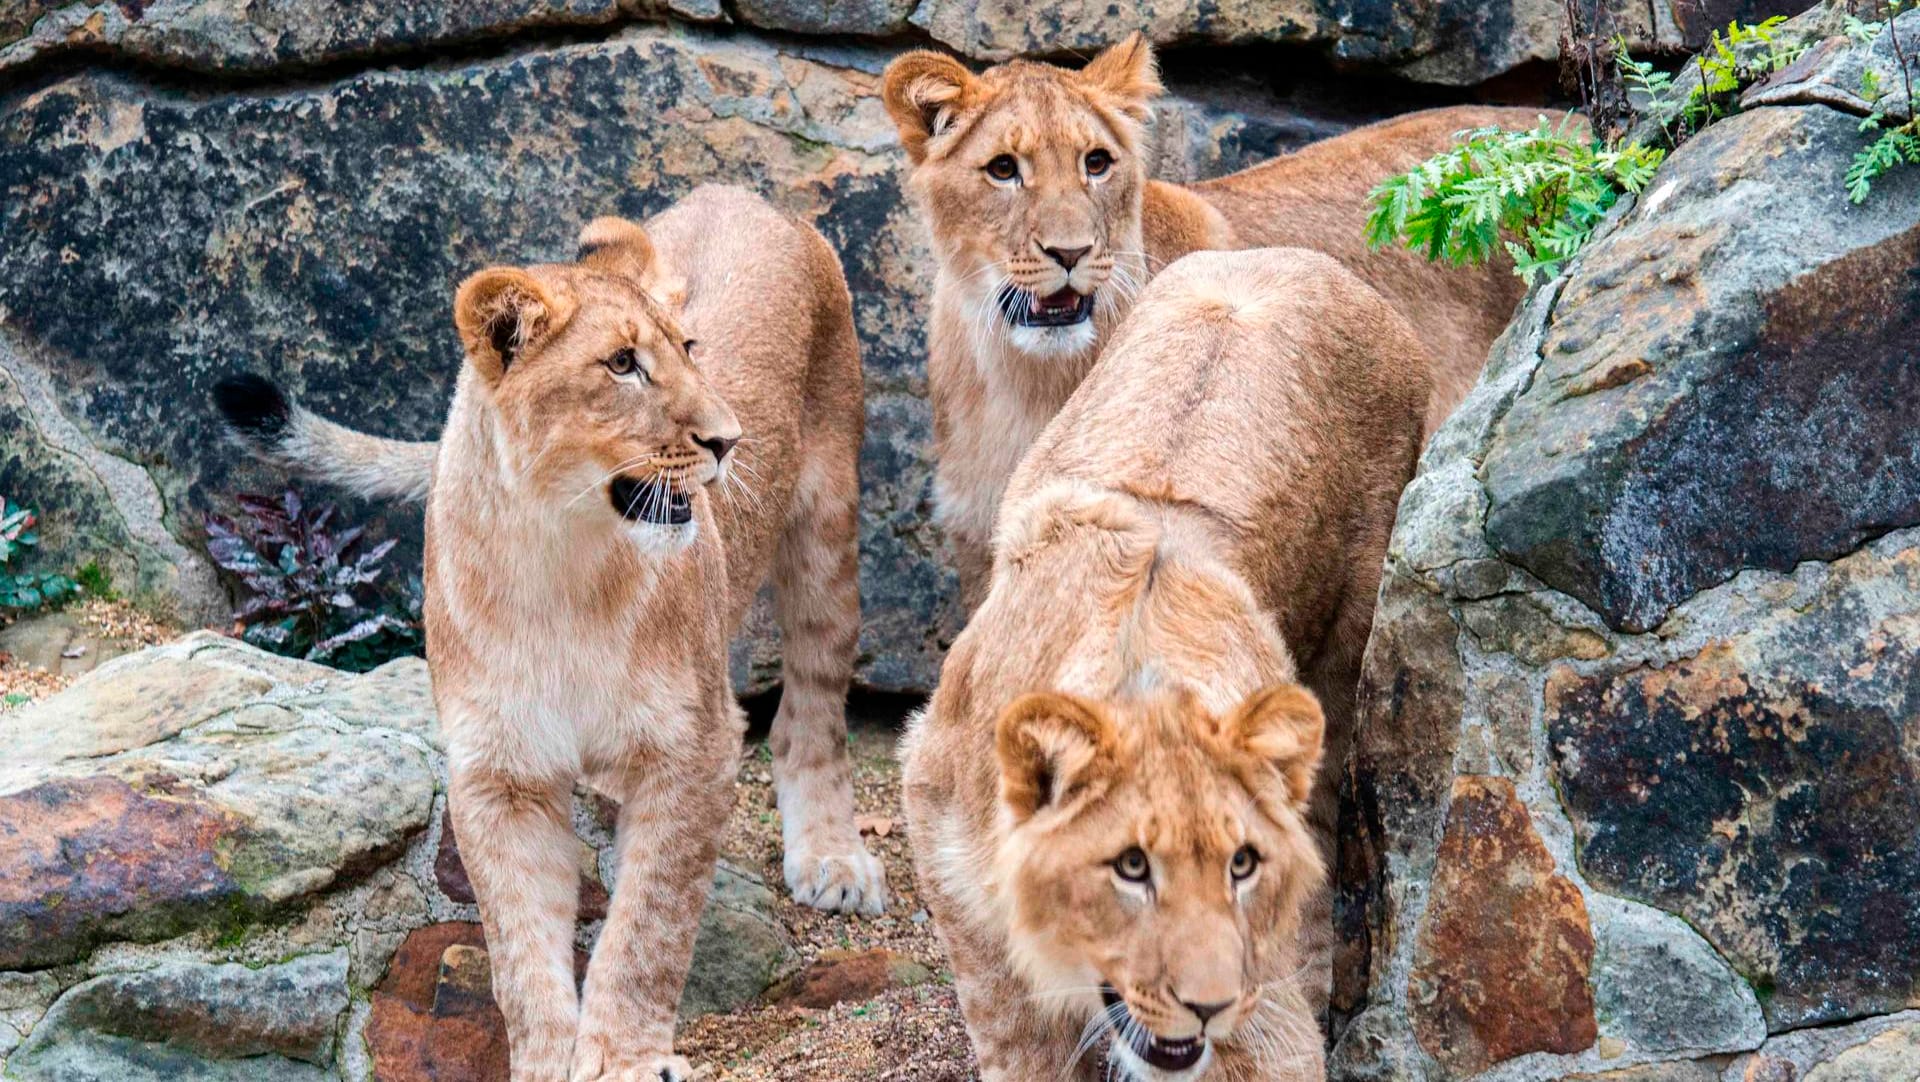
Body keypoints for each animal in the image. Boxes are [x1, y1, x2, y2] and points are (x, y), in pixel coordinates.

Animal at [216, 184, 883, 1074]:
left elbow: (648, 928)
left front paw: (626, 1057)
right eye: (622, 364)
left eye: (688, 348)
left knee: (811, 707)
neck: (560, 565)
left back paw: (832, 857)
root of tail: (736, 192)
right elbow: (520, 954)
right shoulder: (500, 773)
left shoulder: (695, 748)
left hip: (824, 520)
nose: (729, 438)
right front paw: (546, 1059)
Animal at [906, 249, 1436, 1074]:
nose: (1208, 1001)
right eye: (1131, 868)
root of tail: (1294, 257)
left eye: (1241, 866)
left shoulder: (1261, 1002)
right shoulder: (952, 866)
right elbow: (1020, 1045)